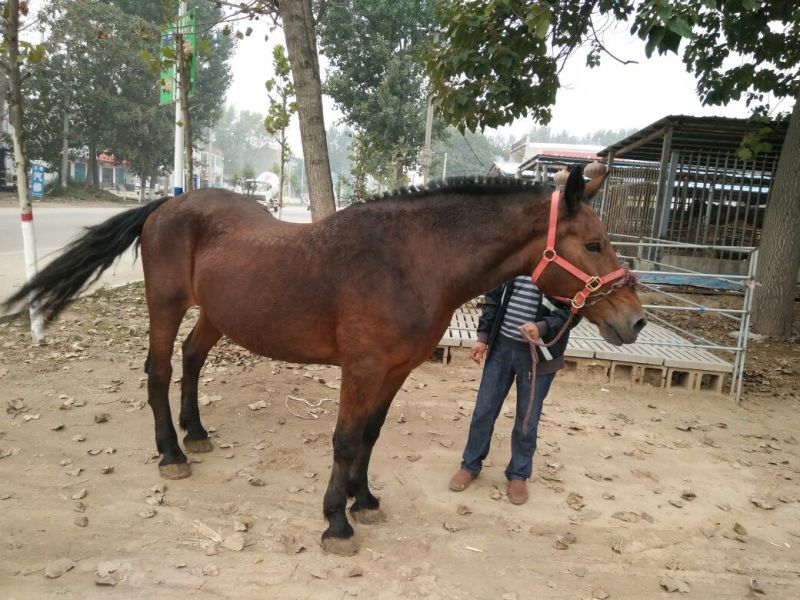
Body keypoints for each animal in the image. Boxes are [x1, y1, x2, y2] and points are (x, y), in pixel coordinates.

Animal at [4, 166, 645, 556]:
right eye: (593, 244)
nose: (634, 321)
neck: (411, 261)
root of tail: (168, 202)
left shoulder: (394, 371)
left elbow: (370, 436)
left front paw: (365, 500)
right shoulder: (360, 369)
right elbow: (345, 440)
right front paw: (336, 521)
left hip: (216, 314)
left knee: (191, 360)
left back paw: (197, 433)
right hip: (164, 305)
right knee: (159, 370)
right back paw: (171, 452)